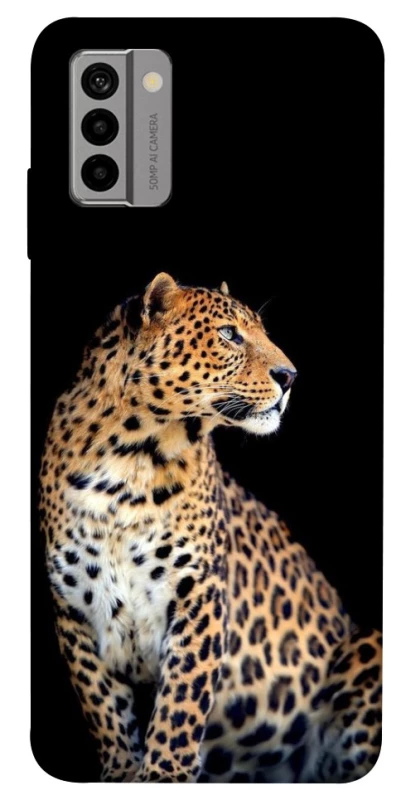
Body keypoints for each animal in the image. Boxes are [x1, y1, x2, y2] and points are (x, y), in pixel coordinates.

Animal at [39, 272, 382, 783]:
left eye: (260, 331)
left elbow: (180, 704)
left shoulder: (198, 593)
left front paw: (164, 774)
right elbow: (103, 707)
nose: (290, 377)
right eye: (228, 335)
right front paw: (123, 773)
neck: (129, 460)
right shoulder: (74, 608)